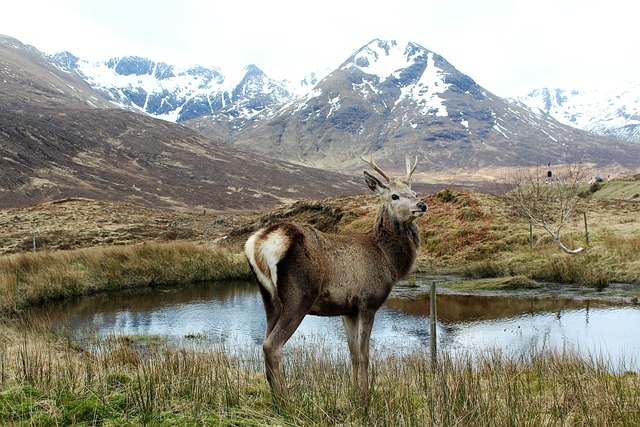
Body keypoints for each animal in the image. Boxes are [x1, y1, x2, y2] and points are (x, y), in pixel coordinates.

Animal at [244, 156, 427, 397]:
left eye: (414, 191)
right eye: (394, 195)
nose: (421, 205)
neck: (388, 260)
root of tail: (258, 243)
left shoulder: (348, 310)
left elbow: (353, 354)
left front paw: (354, 392)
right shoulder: (368, 302)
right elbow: (364, 355)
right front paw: (366, 396)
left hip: (269, 297)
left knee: (264, 340)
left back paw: (275, 396)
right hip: (299, 296)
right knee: (271, 345)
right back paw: (284, 399)